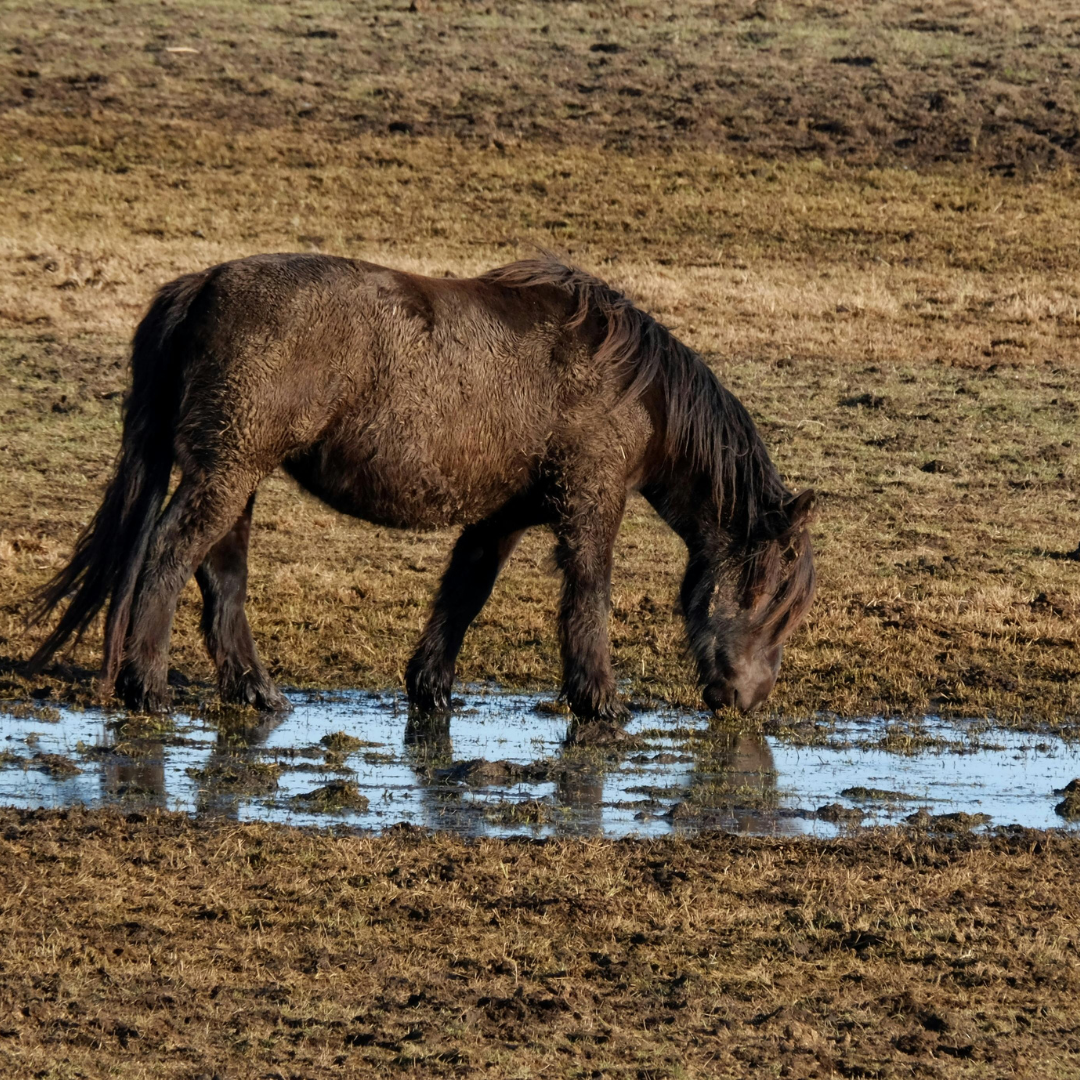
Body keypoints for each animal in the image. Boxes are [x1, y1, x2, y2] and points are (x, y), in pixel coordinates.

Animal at [27, 254, 816, 719]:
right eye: (777, 593)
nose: (750, 700)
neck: (634, 387)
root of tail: (204, 285)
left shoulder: (501, 517)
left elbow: (464, 594)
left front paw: (430, 687)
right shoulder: (590, 504)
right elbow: (589, 597)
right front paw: (601, 703)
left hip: (236, 475)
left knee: (221, 576)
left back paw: (256, 690)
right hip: (227, 472)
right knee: (167, 557)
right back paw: (147, 685)